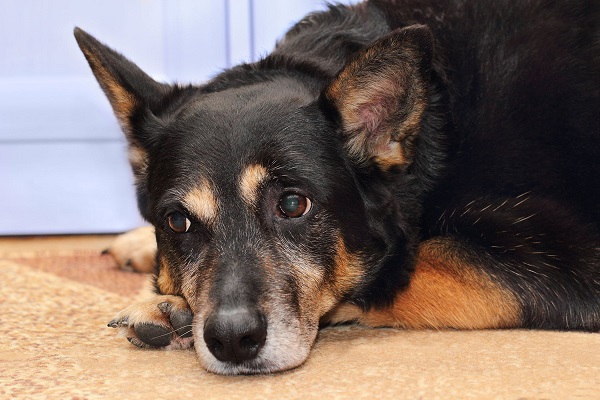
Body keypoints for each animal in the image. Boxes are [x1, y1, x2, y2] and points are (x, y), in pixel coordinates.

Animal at [75, 0, 600, 376]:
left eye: (293, 204)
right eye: (178, 221)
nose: (230, 341)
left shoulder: (564, 260)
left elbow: (398, 273)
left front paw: (165, 304)